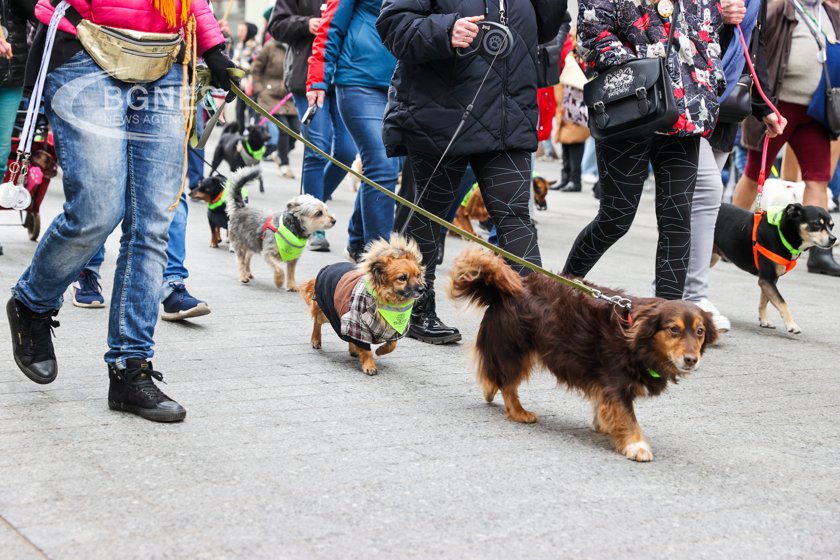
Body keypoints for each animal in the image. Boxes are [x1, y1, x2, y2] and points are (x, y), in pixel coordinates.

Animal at [300, 234, 426, 374]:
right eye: (402, 278)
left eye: (418, 275)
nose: (422, 289)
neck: (388, 302)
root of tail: (328, 267)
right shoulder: (357, 325)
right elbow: (366, 349)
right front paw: (369, 366)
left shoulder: (393, 330)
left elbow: (392, 345)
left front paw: (380, 351)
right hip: (328, 312)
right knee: (317, 321)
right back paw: (316, 340)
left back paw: (353, 349)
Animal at [450, 248, 720, 460]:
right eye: (673, 329)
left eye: (700, 332)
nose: (691, 360)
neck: (635, 337)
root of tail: (508, 289)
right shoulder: (616, 383)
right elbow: (627, 417)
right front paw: (636, 445)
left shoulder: (607, 386)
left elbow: (607, 408)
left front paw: (607, 426)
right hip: (515, 349)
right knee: (506, 382)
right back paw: (516, 410)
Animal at [712, 203, 836, 334]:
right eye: (816, 224)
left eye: (832, 226)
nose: (834, 239)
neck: (782, 232)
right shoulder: (766, 280)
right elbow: (782, 302)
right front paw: (791, 324)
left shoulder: (770, 280)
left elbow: (764, 301)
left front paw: (764, 320)